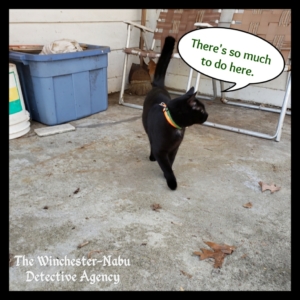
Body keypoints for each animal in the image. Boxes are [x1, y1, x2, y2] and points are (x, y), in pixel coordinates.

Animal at [141, 35, 207, 190]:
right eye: (202, 110)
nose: (207, 115)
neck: (175, 126)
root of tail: (158, 86)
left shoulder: (174, 148)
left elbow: (170, 163)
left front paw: (167, 174)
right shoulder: (161, 150)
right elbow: (165, 165)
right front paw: (171, 181)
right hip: (148, 128)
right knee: (151, 142)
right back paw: (152, 157)